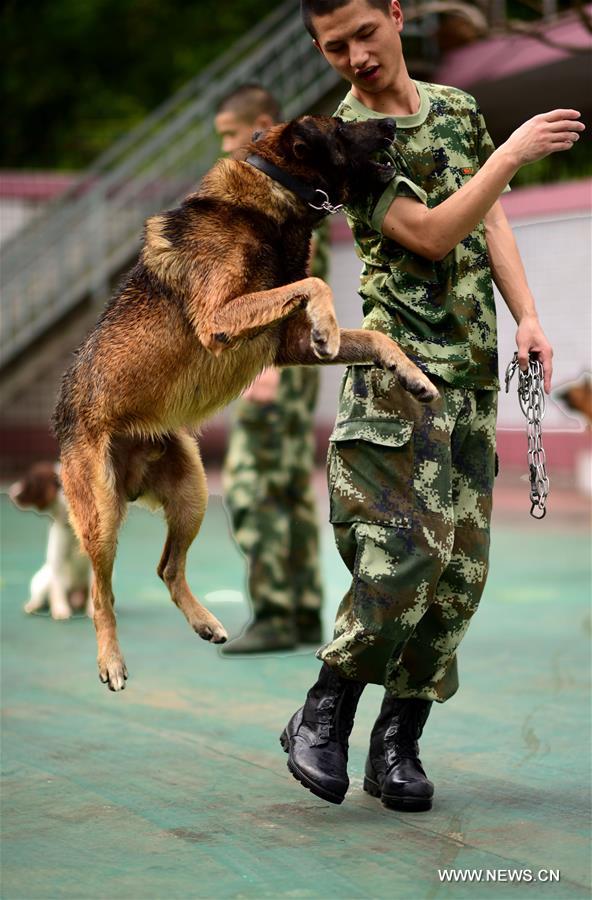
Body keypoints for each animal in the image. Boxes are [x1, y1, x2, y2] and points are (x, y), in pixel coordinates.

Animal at [8, 464, 92, 620]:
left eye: (29, 482)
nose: (11, 491)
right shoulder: (57, 560)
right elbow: (57, 589)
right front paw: (60, 611)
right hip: (42, 581)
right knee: (40, 597)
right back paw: (32, 606)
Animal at [52, 112, 440, 688]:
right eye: (342, 126)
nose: (392, 122)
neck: (274, 192)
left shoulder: (285, 344)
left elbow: (376, 337)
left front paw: (412, 374)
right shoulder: (221, 316)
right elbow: (316, 282)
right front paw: (330, 326)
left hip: (193, 493)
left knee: (167, 568)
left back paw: (205, 622)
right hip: (101, 517)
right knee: (103, 593)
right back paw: (111, 661)